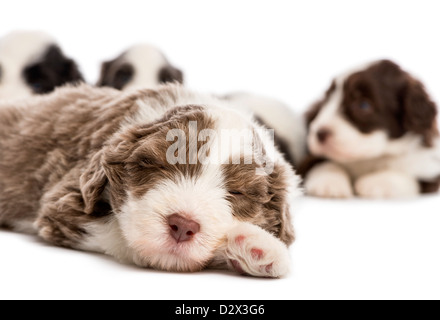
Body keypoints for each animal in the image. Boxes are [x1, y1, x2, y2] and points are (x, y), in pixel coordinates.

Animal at [0, 84, 300, 276]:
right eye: (157, 164)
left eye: (238, 192)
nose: (182, 226)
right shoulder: (66, 200)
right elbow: (124, 234)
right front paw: (252, 248)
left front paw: (258, 249)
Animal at [300, 59, 440, 198]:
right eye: (326, 101)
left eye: (363, 105)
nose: (320, 134)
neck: (370, 158)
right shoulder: (309, 157)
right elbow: (321, 163)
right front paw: (329, 182)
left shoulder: (430, 166)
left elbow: (412, 177)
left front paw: (376, 183)